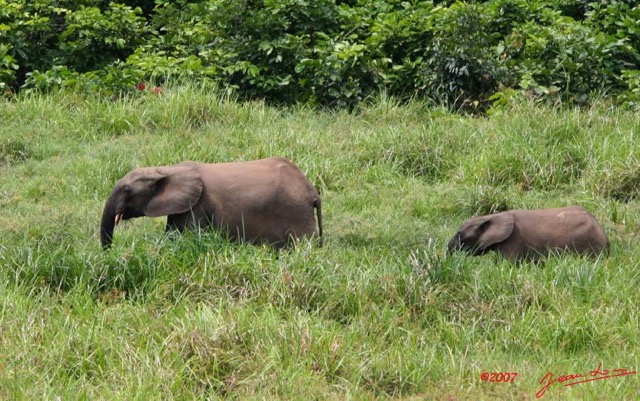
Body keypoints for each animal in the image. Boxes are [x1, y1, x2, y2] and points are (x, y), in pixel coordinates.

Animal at [102, 155, 322, 247]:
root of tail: (312, 191)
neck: (168, 168)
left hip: (296, 213)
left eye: (127, 190)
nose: (110, 253)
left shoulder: (198, 206)